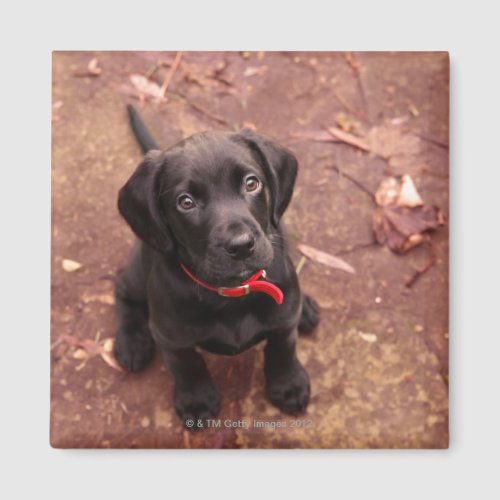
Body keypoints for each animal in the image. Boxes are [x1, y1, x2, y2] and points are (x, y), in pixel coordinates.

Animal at [114, 105, 318, 426]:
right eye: (186, 202)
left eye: (251, 183)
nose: (242, 245)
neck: (232, 294)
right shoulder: (171, 337)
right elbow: (188, 364)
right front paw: (196, 399)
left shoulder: (283, 319)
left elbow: (282, 347)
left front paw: (288, 384)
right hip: (138, 271)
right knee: (122, 287)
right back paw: (132, 341)